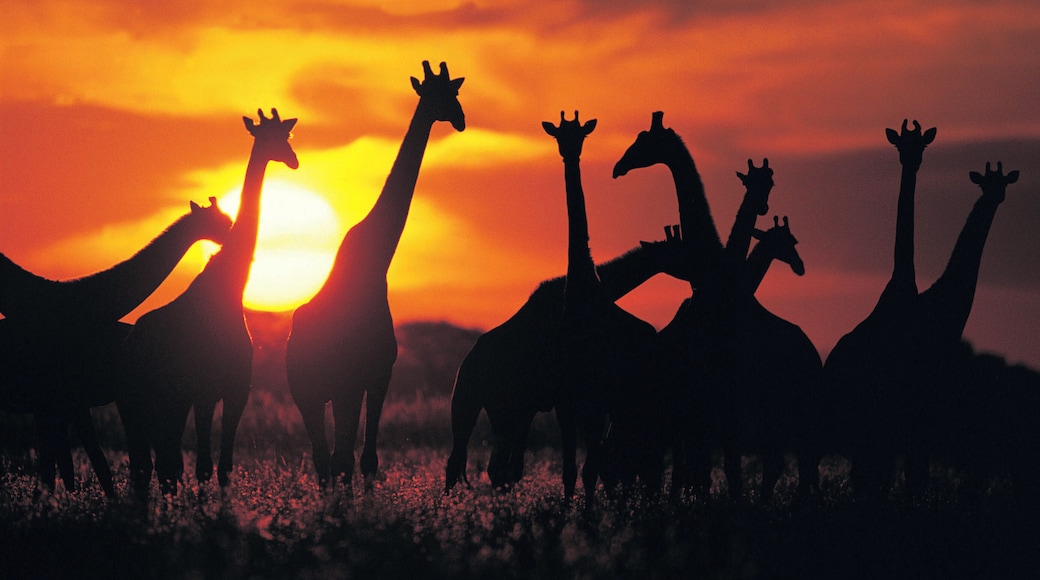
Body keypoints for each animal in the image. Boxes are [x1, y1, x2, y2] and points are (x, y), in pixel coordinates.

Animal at [0, 199, 232, 496]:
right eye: (220, 220)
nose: (233, 230)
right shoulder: (55, 400)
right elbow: (66, 466)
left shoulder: (64, 401)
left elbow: (77, 465)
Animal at [118, 109, 298, 495]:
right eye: (276, 138)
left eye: (287, 135)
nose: (294, 160)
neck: (229, 289)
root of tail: (131, 343)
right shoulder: (208, 391)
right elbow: (204, 467)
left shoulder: (229, 391)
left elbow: (218, 467)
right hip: (144, 401)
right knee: (151, 464)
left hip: (155, 401)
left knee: (156, 464)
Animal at [286, 61, 464, 489]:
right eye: (439, 95)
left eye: (455, 93)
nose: (462, 120)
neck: (377, 261)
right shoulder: (365, 378)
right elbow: (358, 458)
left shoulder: (368, 379)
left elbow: (360, 458)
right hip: (322, 391)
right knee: (332, 456)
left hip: (319, 393)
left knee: (327, 457)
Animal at [444, 225, 688, 494]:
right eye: (680, 251)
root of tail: (465, 368)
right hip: (492, 407)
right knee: (470, 463)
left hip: (503, 410)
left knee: (488, 466)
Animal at [824, 117, 1019, 499]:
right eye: (901, 143)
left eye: (923, 145)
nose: (911, 160)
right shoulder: (921, 408)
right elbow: (914, 476)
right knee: (866, 476)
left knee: (866, 475)